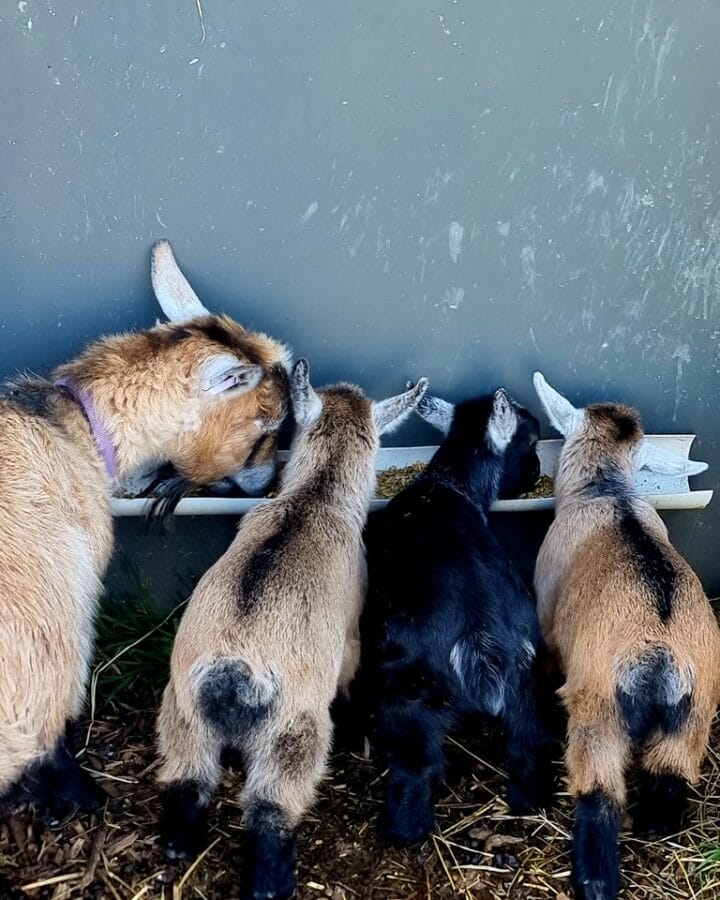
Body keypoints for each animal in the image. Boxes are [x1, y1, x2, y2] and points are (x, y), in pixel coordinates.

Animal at [0, 241, 290, 818]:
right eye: (264, 430)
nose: (268, 481)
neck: (75, 427)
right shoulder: (53, 639)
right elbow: (48, 743)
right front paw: (83, 798)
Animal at [155, 360, 427, 900]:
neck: (313, 498)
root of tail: (232, 670)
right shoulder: (349, 637)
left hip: (183, 711)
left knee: (188, 779)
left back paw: (177, 843)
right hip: (293, 729)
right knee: (271, 804)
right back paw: (269, 880)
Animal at [361, 386, 554, 847]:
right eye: (531, 438)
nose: (536, 472)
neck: (446, 484)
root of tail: (480, 644)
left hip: (409, 696)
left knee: (416, 767)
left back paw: (400, 833)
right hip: (530, 679)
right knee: (529, 745)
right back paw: (530, 806)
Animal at [533, 372, 720, 900]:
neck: (605, 493)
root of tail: (661, 657)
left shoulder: (547, 621)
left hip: (598, 709)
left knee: (600, 792)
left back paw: (594, 879)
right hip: (694, 714)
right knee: (670, 777)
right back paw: (656, 828)